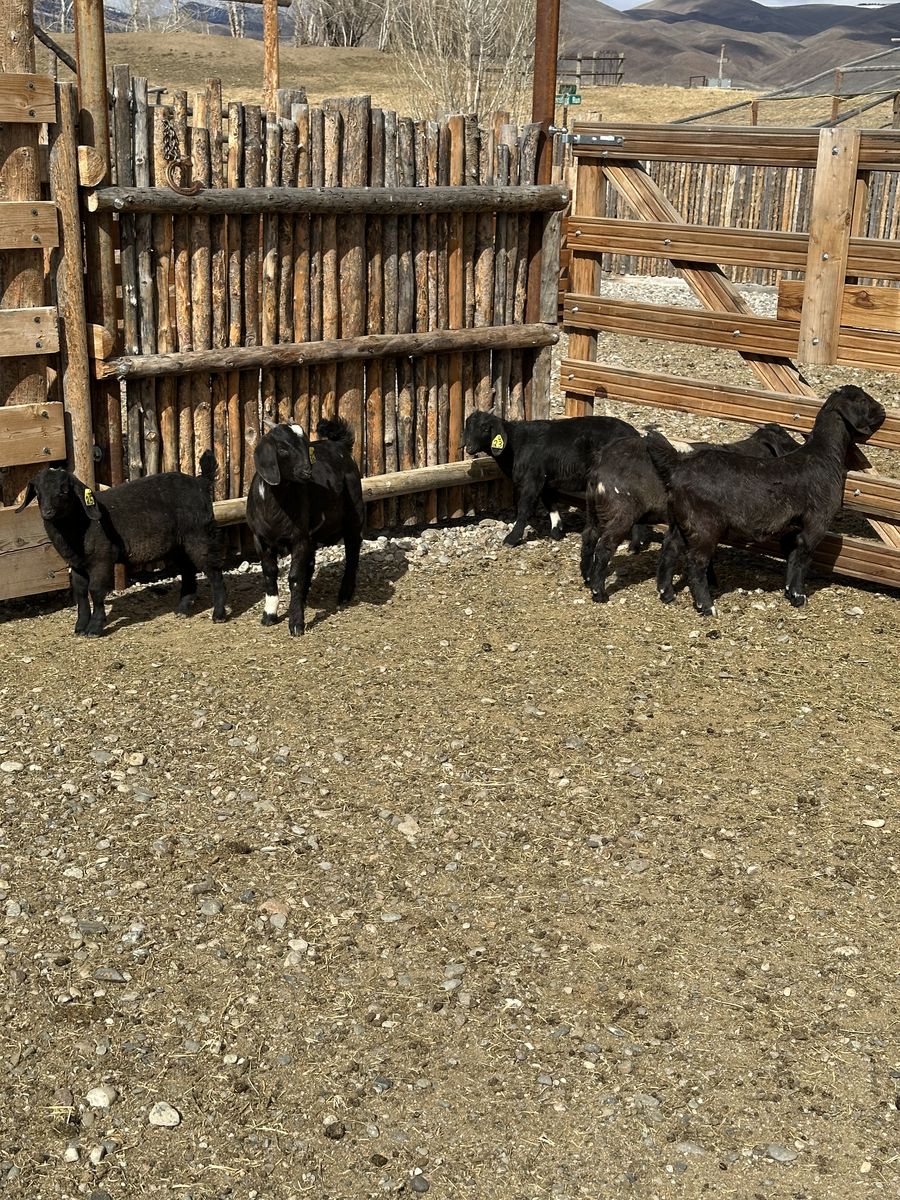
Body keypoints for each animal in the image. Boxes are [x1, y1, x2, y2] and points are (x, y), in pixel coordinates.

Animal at [17, 452, 227, 636]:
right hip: (179, 544)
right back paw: (183, 609)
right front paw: (80, 626)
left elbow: (96, 591)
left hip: (200, 535)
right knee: (188, 570)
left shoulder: (102, 559)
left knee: (214, 571)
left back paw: (219, 614)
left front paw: (94, 628)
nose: (47, 512)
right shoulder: (77, 564)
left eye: (64, 490)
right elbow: (81, 593)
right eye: (37, 492)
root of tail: (200, 483)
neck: (78, 525)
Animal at [245, 418, 365, 636]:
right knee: (310, 562)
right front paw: (269, 615)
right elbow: (270, 572)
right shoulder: (260, 539)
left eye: (306, 446)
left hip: (355, 513)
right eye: (282, 449)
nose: (307, 472)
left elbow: (294, 577)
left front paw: (296, 623)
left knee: (353, 551)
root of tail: (339, 445)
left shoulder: (298, 538)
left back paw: (345, 593)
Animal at [463, 409, 640, 546]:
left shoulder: (533, 478)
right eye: (468, 427)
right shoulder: (546, 480)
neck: (517, 444)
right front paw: (557, 531)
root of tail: (636, 434)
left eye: (485, 428)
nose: (469, 447)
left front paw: (512, 538)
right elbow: (550, 502)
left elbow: (524, 507)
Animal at [581, 423, 801, 604]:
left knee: (589, 537)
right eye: (787, 441)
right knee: (604, 547)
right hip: (621, 512)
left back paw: (587, 577)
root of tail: (600, 464)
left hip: (595, 510)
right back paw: (599, 593)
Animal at [645, 385, 885, 615]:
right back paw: (706, 606)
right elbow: (803, 555)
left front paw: (789, 591)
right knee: (696, 562)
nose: (883, 410)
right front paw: (799, 596)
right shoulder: (816, 521)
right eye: (862, 400)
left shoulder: (792, 527)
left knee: (670, 549)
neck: (822, 456)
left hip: (680, 520)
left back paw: (667, 594)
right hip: (704, 524)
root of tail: (678, 466)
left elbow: (792, 555)